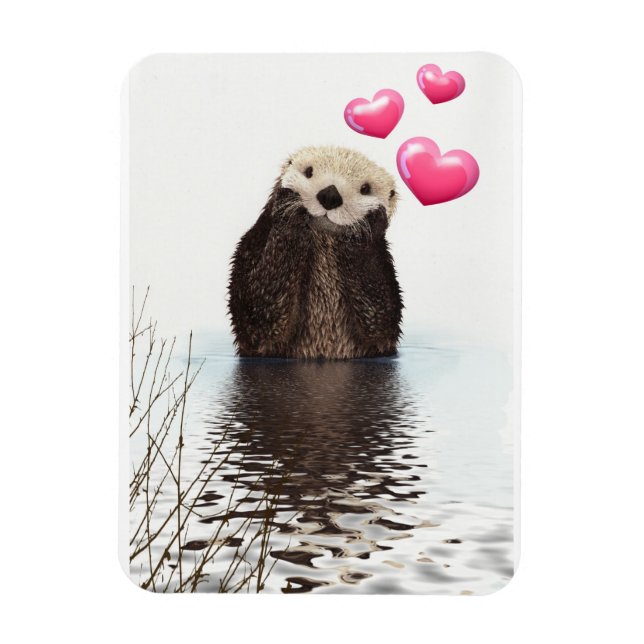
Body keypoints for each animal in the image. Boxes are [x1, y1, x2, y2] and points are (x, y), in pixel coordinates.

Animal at [228, 146, 403, 359]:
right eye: (309, 172)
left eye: (365, 189)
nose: (330, 195)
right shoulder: (251, 246)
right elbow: (257, 311)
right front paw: (289, 208)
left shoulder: (384, 270)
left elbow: (380, 318)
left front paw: (365, 225)